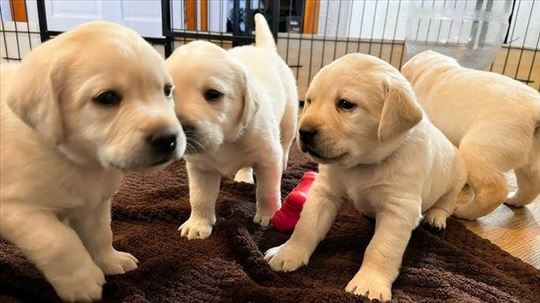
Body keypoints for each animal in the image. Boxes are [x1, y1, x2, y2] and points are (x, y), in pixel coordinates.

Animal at [0, 22, 186, 302]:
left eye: (167, 90)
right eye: (106, 98)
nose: (168, 139)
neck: (78, 161)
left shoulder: (95, 203)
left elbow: (100, 233)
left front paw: (110, 261)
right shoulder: (16, 209)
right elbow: (58, 242)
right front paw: (83, 283)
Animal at [167, 13, 298, 240]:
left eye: (213, 94)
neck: (225, 140)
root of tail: (263, 50)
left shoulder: (268, 157)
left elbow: (268, 190)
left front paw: (269, 215)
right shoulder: (200, 168)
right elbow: (200, 197)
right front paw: (198, 223)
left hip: (289, 119)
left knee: (286, 146)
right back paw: (243, 177)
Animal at [264, 54, 466, 302]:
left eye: (346, 104)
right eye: (309, 100)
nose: (303, 132)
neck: (362, 164)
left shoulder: (399, 208)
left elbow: (381, 247)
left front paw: (370, 283)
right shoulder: (324, 192)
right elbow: (306, 226)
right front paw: (288, 252)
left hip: (456, 176)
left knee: (447, 201)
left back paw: (436, 217)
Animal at [400, 51, 540, 220]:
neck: (439, 69)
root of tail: (535, 112)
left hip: (477, 148)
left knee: (493, 191)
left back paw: (464, 212)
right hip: (530, 164)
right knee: (531, 187)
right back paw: (514, 199)